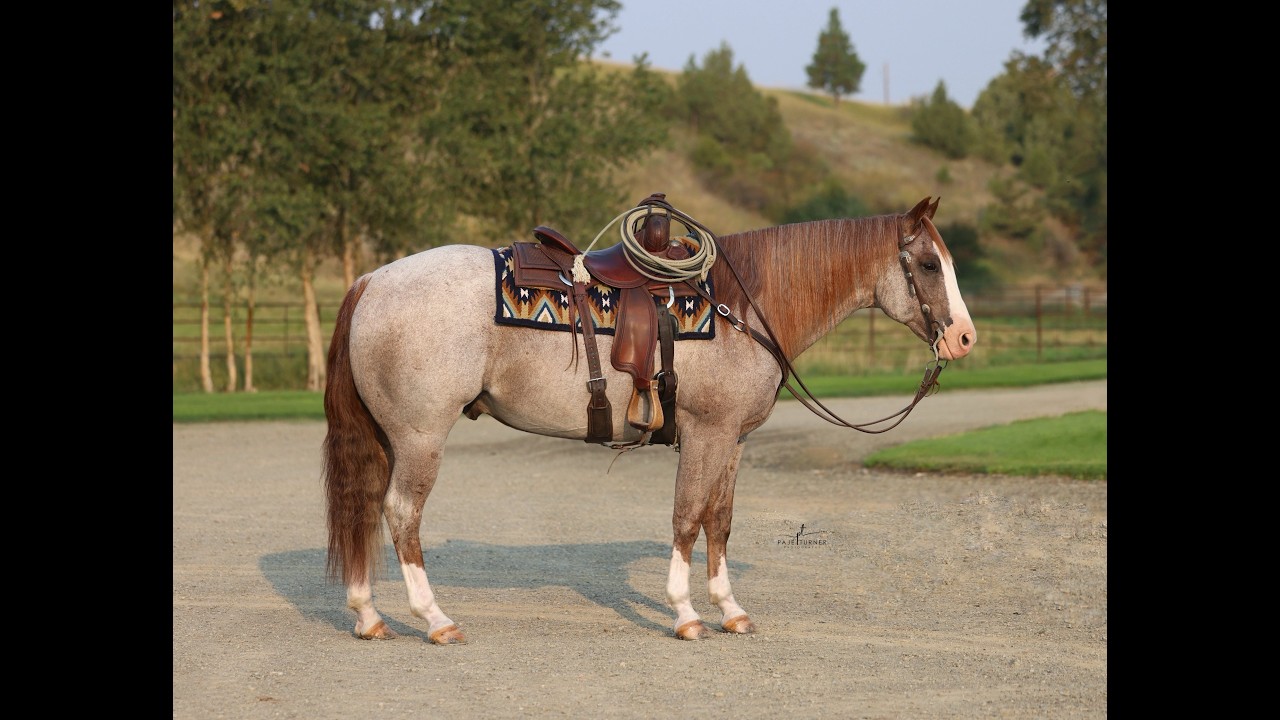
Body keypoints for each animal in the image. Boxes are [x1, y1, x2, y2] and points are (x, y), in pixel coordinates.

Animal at [321, 196, 976, 644]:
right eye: (926, 264)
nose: (965, 338)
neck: (738, 309)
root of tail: (371, 281)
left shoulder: (733, 440)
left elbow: (719, 522)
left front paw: (730, 610)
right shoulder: (707, 433)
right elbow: (687, 518)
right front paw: (686, 614)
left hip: (387, 437)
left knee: (363, 508)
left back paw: (369, 616)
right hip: (420, 435)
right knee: (401, 513)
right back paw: (434, 620)